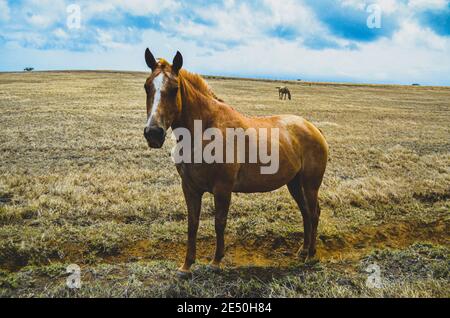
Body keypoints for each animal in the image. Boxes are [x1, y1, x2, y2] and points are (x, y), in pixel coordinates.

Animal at [143, 47, 326, 278]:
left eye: (174, 89)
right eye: (147, 86)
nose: (153, 133)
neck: (204, 131)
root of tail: (312, 128)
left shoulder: (223, 188)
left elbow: (219, 223)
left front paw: (215, 262)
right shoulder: (190, 188)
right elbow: (192, 224)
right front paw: (186, 266)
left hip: (310, 185)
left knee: (314, 213)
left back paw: (311, 255)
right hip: (294, 183)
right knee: (305, 213)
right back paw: (303, 250)